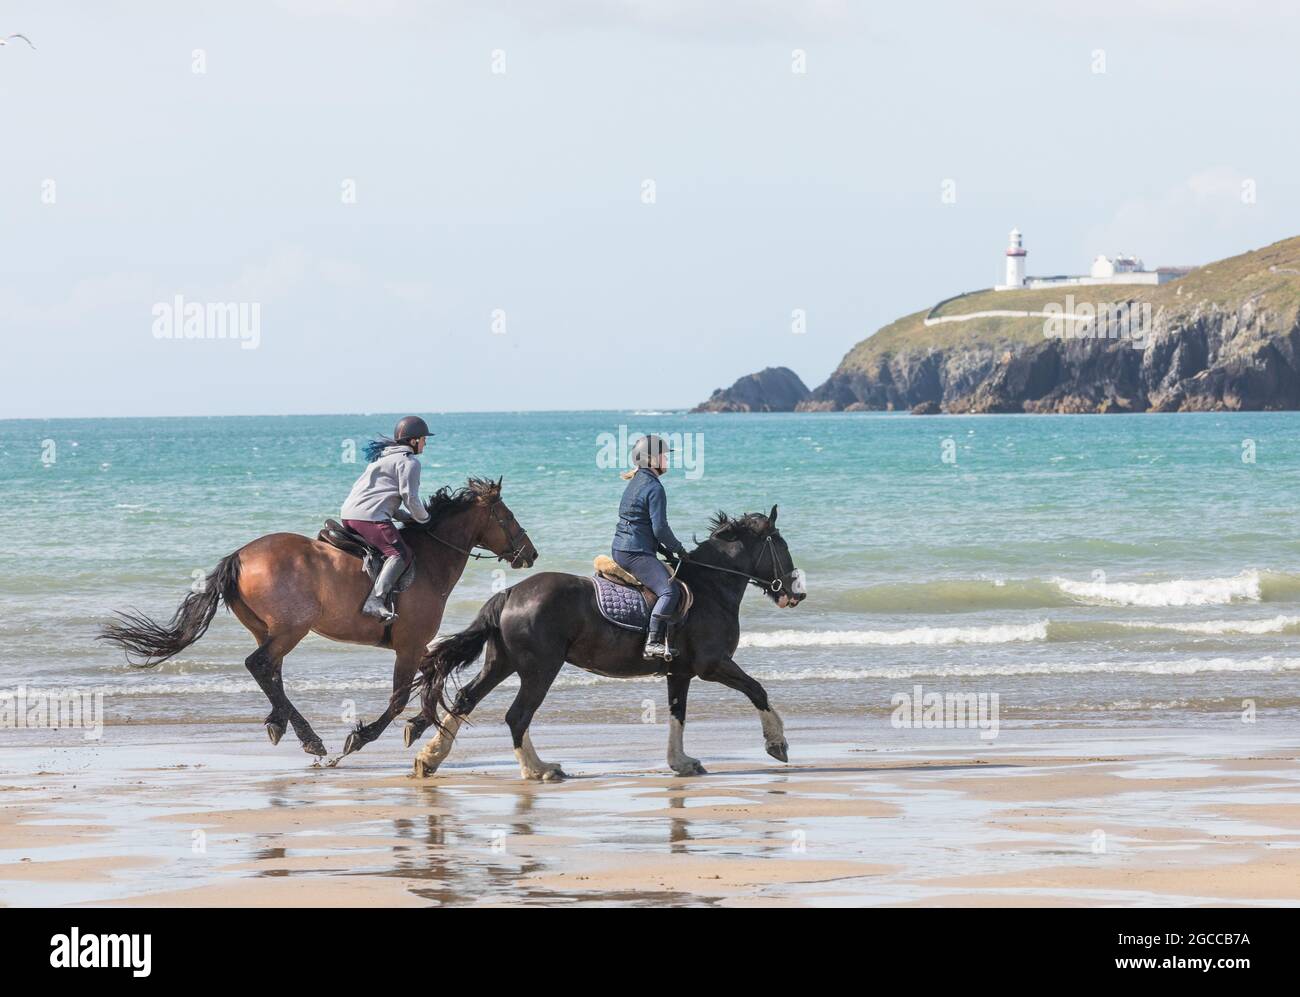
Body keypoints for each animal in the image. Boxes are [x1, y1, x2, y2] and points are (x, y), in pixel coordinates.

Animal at [98, 478, 538, 759]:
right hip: (292, 627)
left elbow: (434, 676)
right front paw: (365, 736)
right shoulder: (409, 644)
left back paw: (281, 723)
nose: (530, 553)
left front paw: (417, 726)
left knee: (269, 670)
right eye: (507, 516)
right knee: (260, 664)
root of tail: (240, 555)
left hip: (267, 628)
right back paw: (309, 737)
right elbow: (400, 697)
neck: (430, 560)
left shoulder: (418, 645)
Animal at [413, 506, 800, 779]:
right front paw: (777, 743)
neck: (710, 588)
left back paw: (429, 759)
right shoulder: (713, 664)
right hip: (540, 669)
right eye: (781, 544)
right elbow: (757, 690)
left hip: (502, 663)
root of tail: (509, 593)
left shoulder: (680, 673)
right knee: (517, 715)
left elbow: (678, 714)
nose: (797, 593)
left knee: (466, 698)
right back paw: (539, 769)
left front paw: (681, 762)